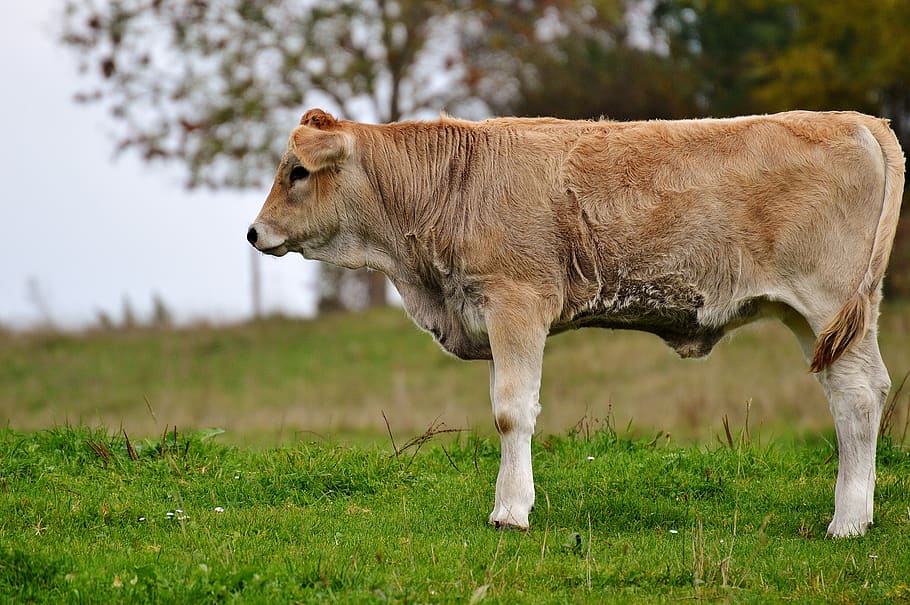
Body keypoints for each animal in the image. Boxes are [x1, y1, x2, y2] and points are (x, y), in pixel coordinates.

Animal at [247, 108, 904, 537]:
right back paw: (860, 513)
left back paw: (847, 522)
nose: (253, 232)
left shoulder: (517, 303)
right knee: (857, 396)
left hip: (826, 301)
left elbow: (512, 411)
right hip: (820, 319)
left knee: (857, 395)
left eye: (297, 171)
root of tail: (853, 118)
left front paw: (510, 511)